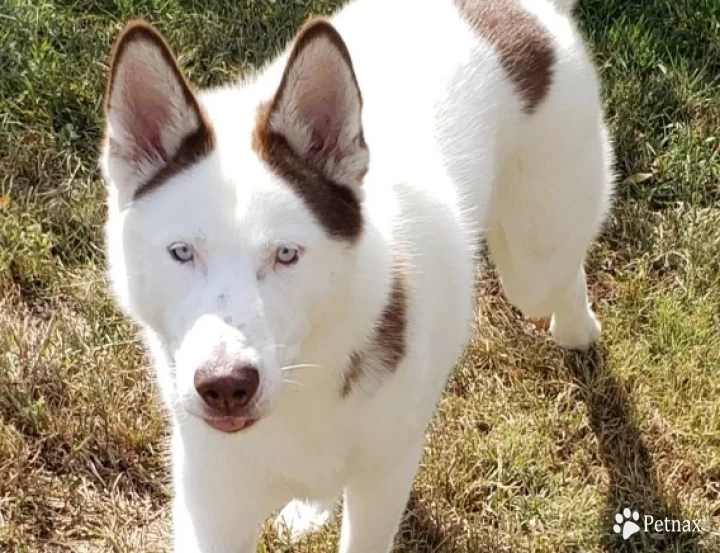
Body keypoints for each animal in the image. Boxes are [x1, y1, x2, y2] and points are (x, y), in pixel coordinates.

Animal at [100, 0, 612, 548]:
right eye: (181, 252)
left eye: (286, 254)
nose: (225, 386)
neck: (305, 375)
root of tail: (525, 10)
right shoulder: (211, 498)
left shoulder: (386, 475)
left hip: (534, 259)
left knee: (559, 275)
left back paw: (578, 330)